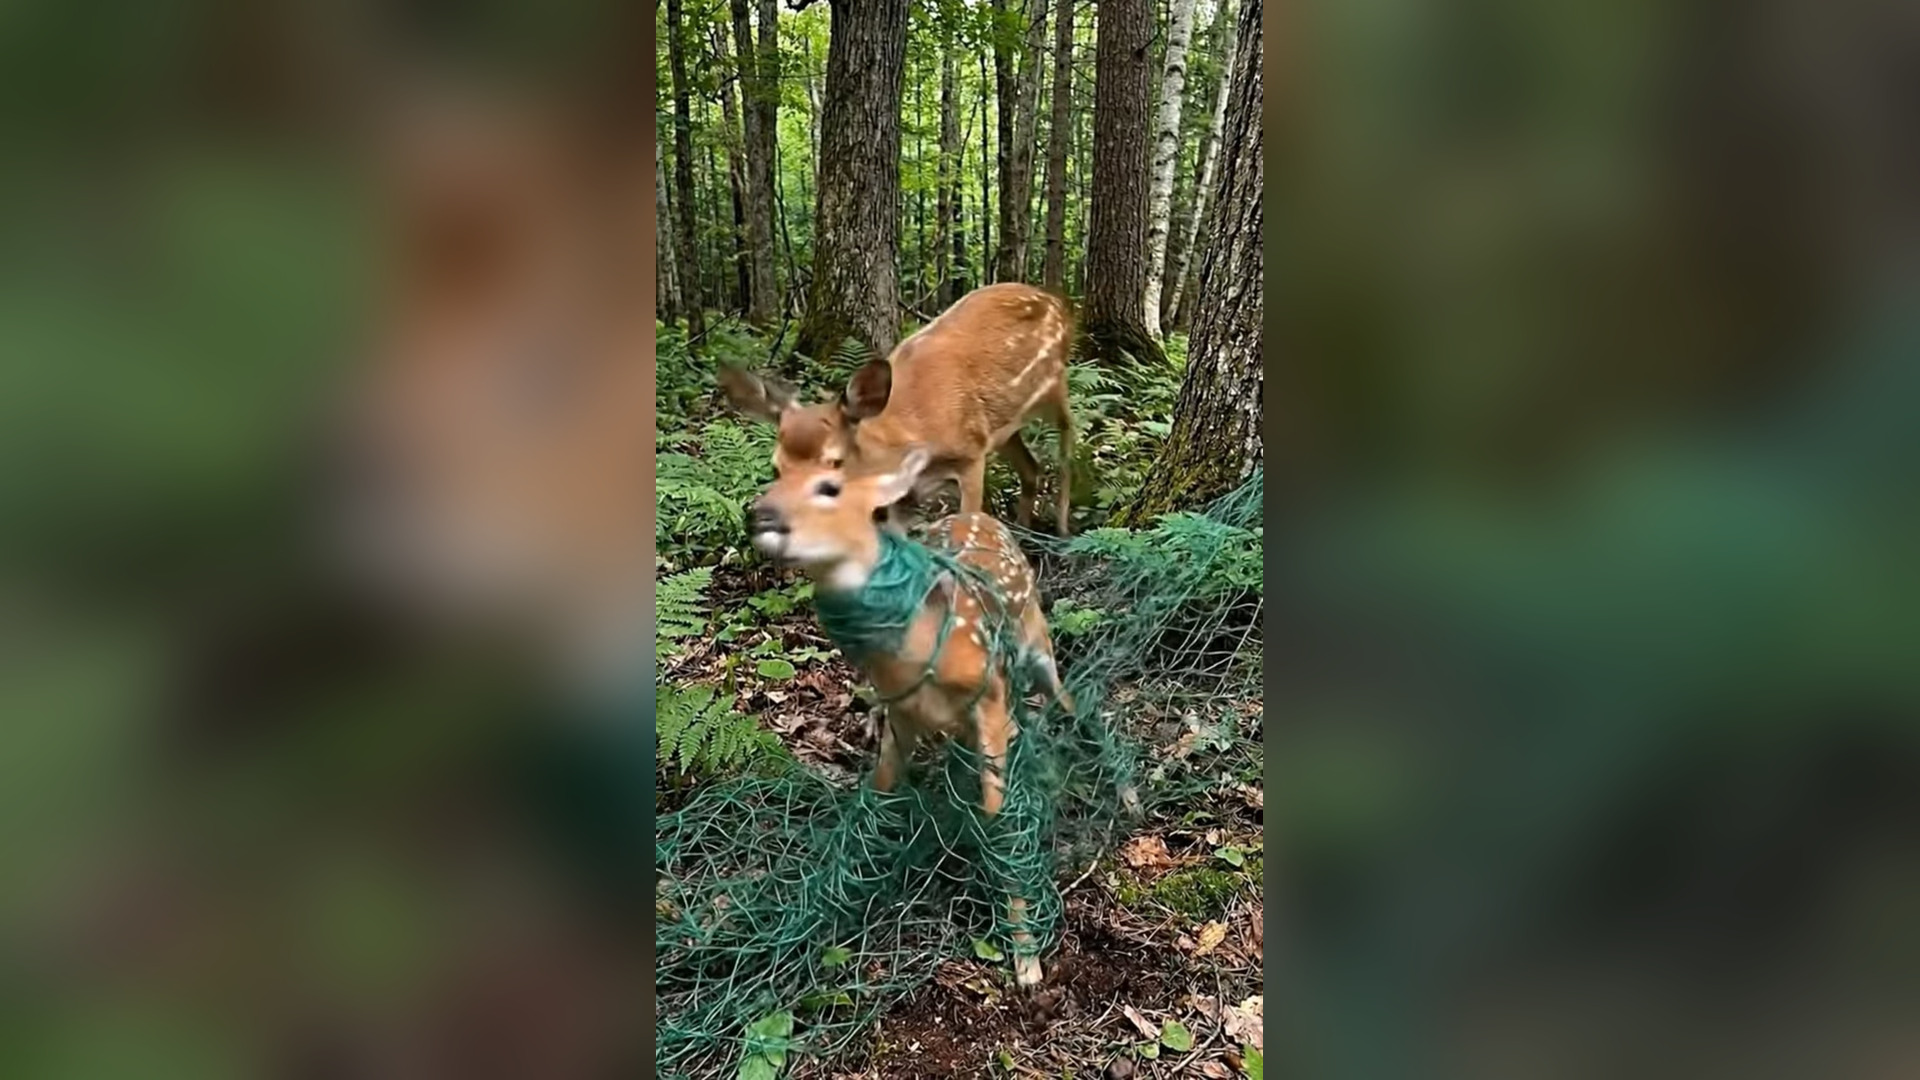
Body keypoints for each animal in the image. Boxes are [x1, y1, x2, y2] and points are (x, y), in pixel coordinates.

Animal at [719, 282, 1077, 536]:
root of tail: (1057, 301)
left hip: (1055, 386)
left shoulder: (971, 454)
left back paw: (1062, 530)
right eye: (776, 468)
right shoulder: (903, 498)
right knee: (1031, 468)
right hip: (1003, 427)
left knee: (1067, 440)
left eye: (834, 463)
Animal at [745, 443, 1073, 988]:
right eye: (776, 474)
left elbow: (998, 814)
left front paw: (1026, 958)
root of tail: (984, 516)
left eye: (829, 487)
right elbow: (876, 797)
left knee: (1075, 706)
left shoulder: (990, 699)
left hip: (1037, 641)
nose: (759, 515)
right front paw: (824, 916)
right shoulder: (901, 714)